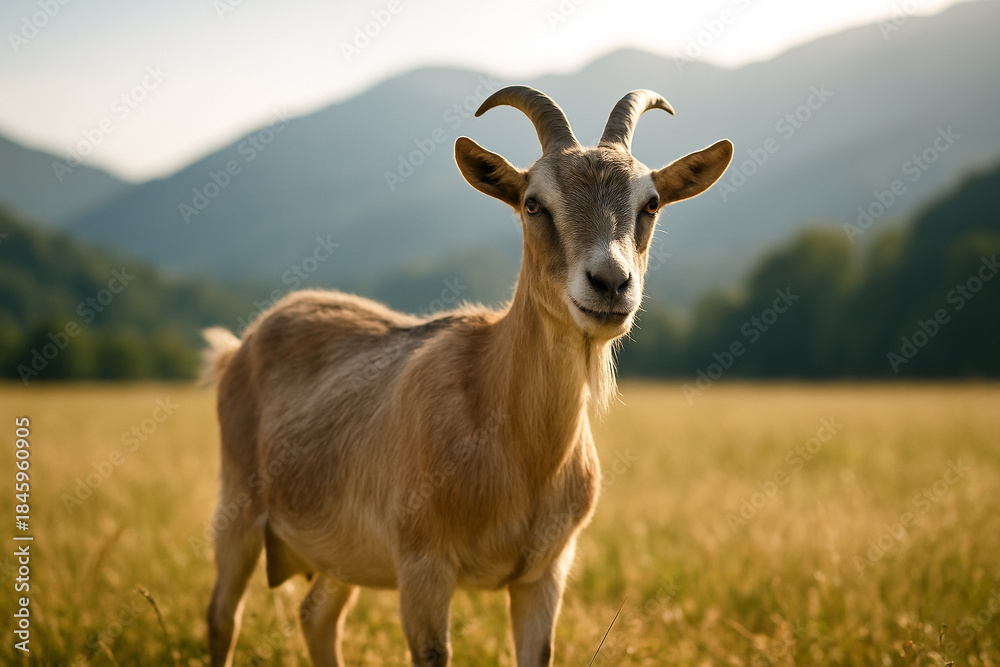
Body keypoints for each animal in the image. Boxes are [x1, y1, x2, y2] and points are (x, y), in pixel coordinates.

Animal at [202, 85, 732, 667]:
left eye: (650, 203)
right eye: (533, 203)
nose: (611, 283)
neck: (518, 452)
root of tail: (240, 348)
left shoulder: (544, 573)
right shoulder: (423, 567)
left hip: (341, 554)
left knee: (315, 615)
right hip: (237, 510)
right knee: (222, 617)